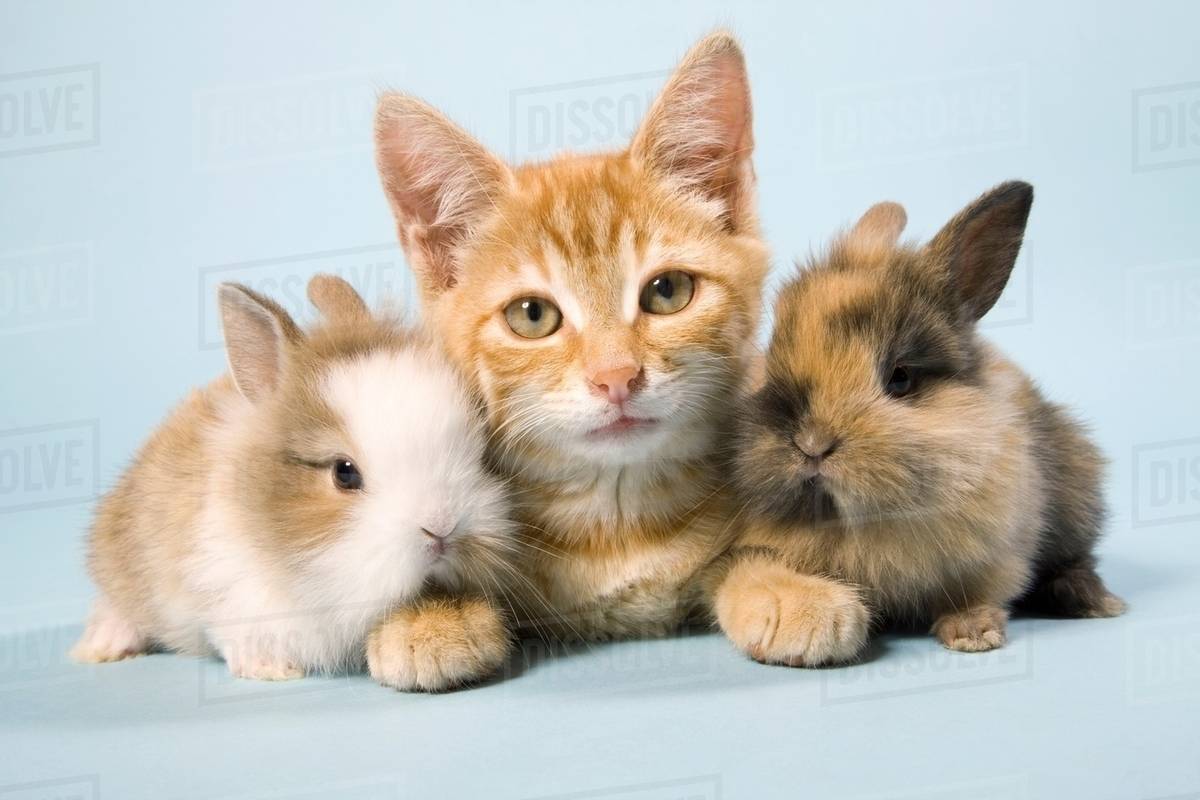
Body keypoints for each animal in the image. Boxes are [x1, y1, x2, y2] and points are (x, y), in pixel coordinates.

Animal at [716, 181, 1125, 666]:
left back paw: (1095, 601)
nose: (812, 444)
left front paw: (973, 634)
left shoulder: (994, 558)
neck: (864, 522)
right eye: (775, 357)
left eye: (901, 378)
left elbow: (975, 595)